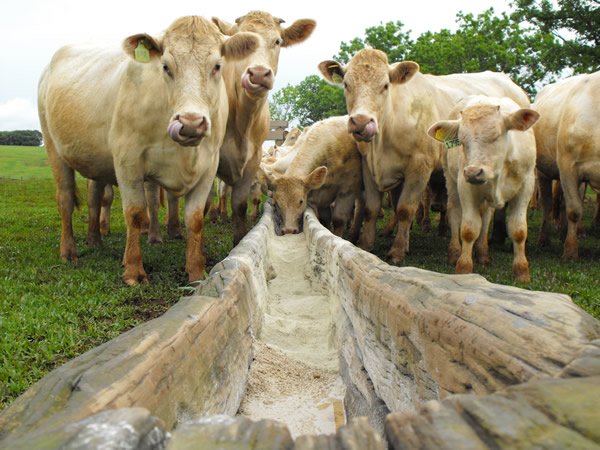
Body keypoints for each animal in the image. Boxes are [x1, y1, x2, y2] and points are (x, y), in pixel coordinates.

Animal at [38, 18, 258, 284]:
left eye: (217, 66)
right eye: (165, 66)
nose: (191, 123)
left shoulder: (208, 166)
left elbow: (195, 219)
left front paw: (196, 271)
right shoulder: (127, 161)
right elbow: (135, 213)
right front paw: (134, 270)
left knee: (94, 198)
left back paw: (95, 240)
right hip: (54, 149)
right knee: (66, 199)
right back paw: (69, 251)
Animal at [318, 48, 528, 264]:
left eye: (385, 85)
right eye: (346, 84)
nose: (361, 122)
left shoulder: (420, 168)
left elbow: (405, 209)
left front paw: (398, 250)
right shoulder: (368, 167)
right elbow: (372, 208)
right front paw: (366, 244)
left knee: (486, 211)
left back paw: (486, 247)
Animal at [426, 96, 540, 282]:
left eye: (496, 136)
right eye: (461, 141)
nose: (473, 172)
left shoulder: (526, 186)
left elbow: (519, 230)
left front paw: (522, 271)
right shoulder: (465, 186)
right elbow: (469, 229)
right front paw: (463, 268)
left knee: (486, 218)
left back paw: (483, 252)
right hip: (451, 179)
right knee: (455, 213)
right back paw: (454, 252)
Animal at [532, 71, 600, 258]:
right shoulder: (568, 167)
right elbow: (574, 210)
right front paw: (570, 251)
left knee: (561, 203)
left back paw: (563, 234)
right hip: (544, 172)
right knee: (547, 205)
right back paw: (544, 240)